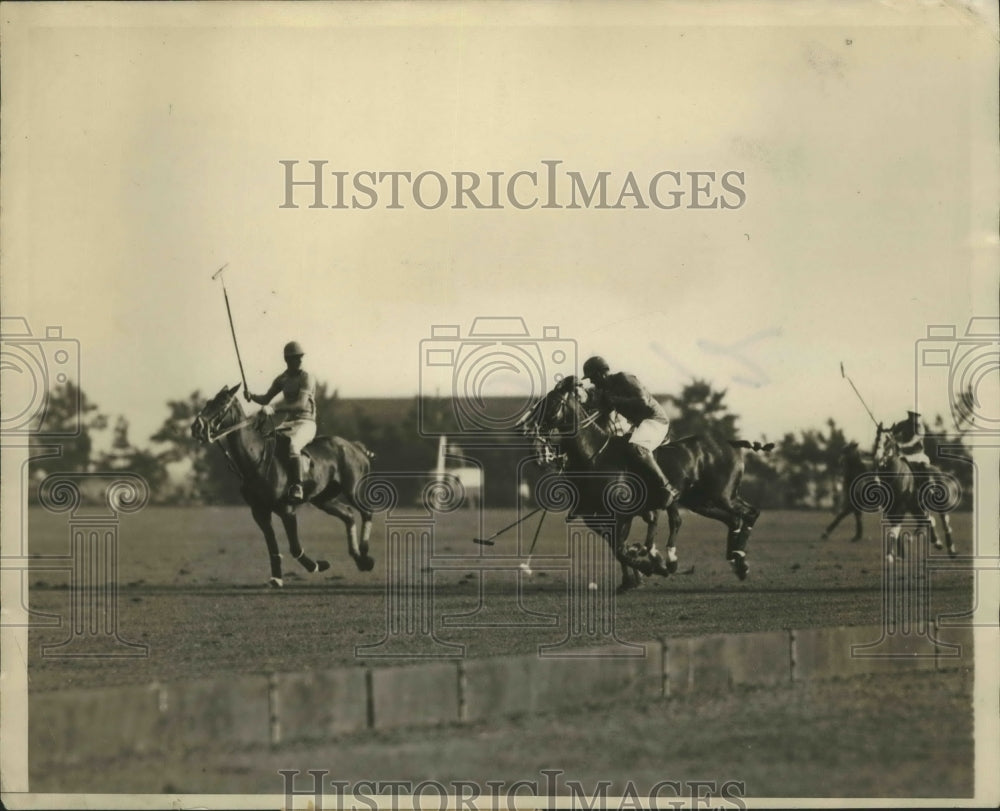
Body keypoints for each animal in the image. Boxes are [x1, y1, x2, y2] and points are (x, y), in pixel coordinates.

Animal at [190, 384, 376, 588]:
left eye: (222, 403)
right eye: (209, 401)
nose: (196, 426)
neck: (256, 459)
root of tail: (355, 446)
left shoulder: (287, 510)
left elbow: (294, 547)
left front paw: (317, 565)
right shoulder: (260, 512)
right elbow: (272, 547)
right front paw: (277, 578)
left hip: (353, 489)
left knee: (366, 512)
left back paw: (365, 555)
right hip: (323, 499)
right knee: (348, 515)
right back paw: (359, 559)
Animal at [528, 378, 776, 592]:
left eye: (552, 403)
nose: (531, 432)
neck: (595, 455)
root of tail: (730, 442)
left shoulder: (623, 513)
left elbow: (621, 547)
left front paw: (650, 566)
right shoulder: (597, 515)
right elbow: (617, 546)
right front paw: (640, 571)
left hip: (722, 495)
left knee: (749, 513)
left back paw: (738, 560)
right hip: (701, 501)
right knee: (733, 519)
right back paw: (737, 560)